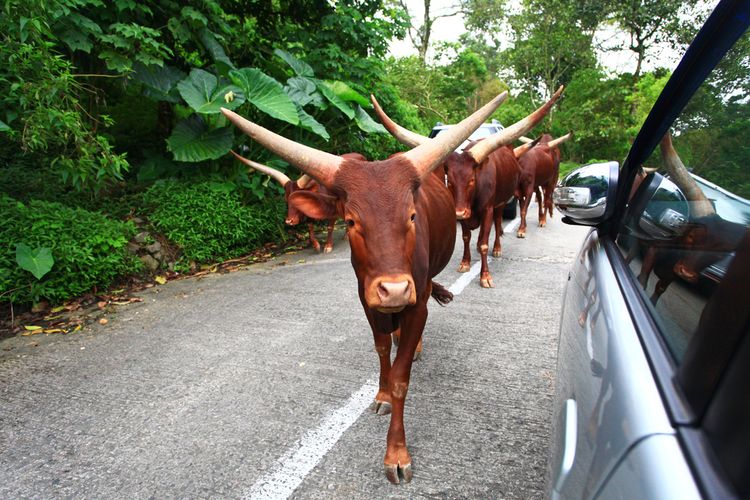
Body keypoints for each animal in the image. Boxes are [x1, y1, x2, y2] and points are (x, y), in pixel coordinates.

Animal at [232, 151, 368, 254]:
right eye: (287, 199)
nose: (289, 221)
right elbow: (310, 228)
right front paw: (315, 245)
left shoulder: (333, 212)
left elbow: (330, 227)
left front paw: (328, 246)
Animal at [374, 88, 568, 288]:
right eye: (449, 180)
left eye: (472, 180)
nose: (459, 213)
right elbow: (466, 237)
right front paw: (465, 263)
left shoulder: (488, 209)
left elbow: (484, 242)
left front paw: (485, 276)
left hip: (503, 202)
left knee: (500, 222)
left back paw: (498, 248)